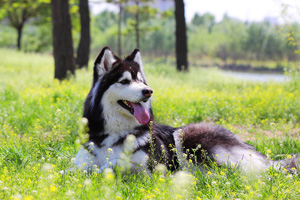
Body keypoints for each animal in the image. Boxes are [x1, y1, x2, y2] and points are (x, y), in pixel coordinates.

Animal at [74, 47, 298, 173]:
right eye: (124, 81)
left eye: (141, 81)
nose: (148, 91)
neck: (116, 133)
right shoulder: (81, 162)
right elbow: (76, 170)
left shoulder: (150, 167)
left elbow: (113, 166)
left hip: (193, 139)